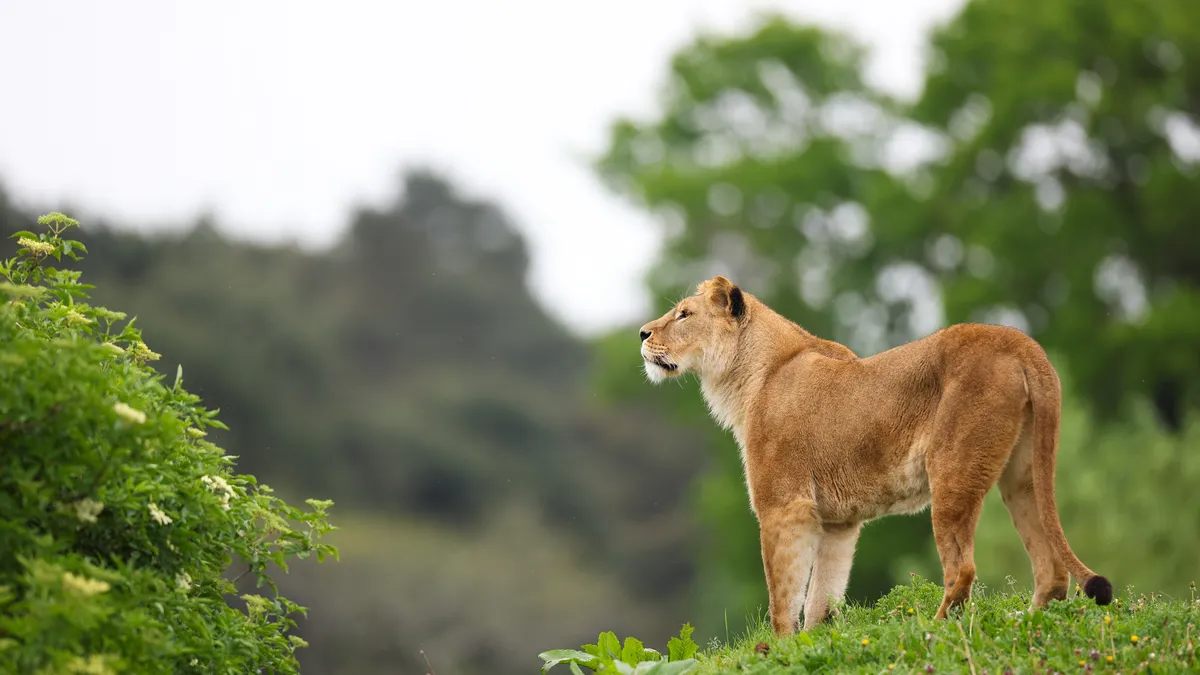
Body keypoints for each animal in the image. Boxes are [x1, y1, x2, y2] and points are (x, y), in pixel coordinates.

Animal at [643, 275, 1108, 634]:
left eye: (683, 314)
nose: (643, 334)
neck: (749, 376)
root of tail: (1021, 342)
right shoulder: (838, 523)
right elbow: (821, 598)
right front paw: (816, 644)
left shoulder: (783, 505)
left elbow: (783, 595)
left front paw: (779, 650)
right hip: (1022, 475)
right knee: (1051, 569)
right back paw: (1027, 622)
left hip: (953, 470)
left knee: (963, 569)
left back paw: (931, 630)